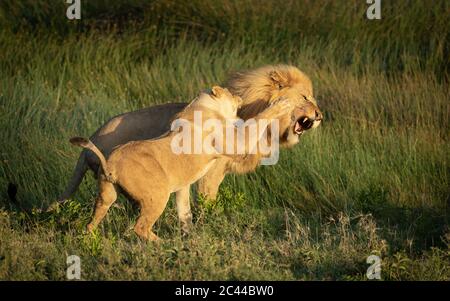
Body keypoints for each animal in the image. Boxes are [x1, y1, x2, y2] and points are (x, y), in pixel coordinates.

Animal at [70, 86, 296, 239]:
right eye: (230, 93)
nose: (239, 96)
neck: (201, 105)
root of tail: (110, 165)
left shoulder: (182, 185)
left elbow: (184, 210)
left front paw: (191, 235)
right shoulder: (235, 142)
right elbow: (257, 121)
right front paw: (281, 104)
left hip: (107, 195)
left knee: (93, 221)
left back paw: (89, 239)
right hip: (157, 195)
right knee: (140, 227)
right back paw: (161, 244)